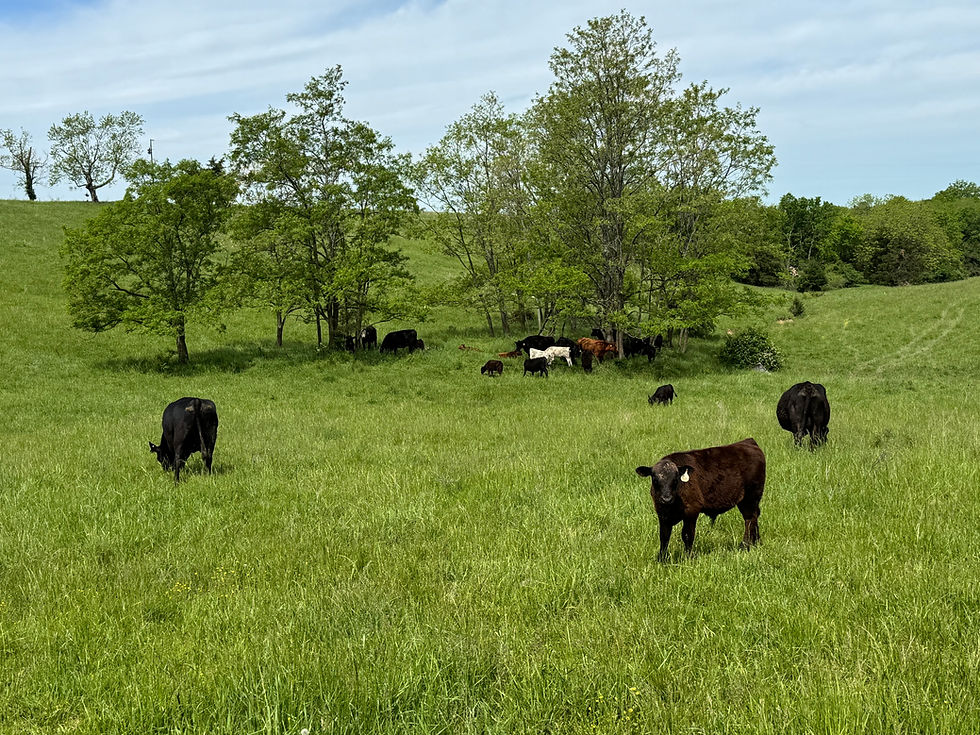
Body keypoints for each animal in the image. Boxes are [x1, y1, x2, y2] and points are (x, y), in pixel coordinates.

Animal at [635, 438, 766, 561]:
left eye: (676, 478)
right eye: (654, 478)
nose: (666, 498)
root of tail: (748, 442)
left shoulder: (692, 510)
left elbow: (687, 535)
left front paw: (688, 557)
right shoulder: (662, 513)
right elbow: (664, 536)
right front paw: (661, 559)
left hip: (751, 497)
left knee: (750, 519)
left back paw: (745, 545)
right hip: (746, 500)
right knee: (754, 517)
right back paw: (756, 543)